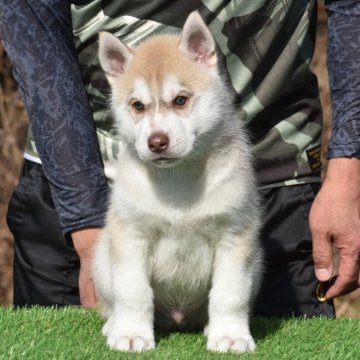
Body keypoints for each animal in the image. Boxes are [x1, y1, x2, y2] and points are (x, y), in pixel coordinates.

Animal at [93, 9, 262, 352]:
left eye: (181, 100)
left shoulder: (235, 236)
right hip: (102, 257)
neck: (178, 179)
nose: (157, 142)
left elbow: (230, 295)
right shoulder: (131, 236)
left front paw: (230, 336)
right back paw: (115, 325)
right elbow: (133, 292)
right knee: (113, 301)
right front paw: (131, 334)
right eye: (138, 106)